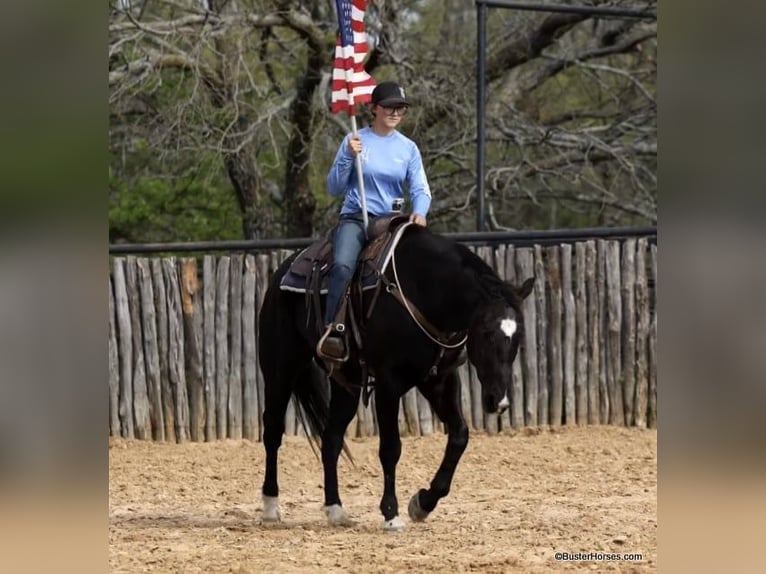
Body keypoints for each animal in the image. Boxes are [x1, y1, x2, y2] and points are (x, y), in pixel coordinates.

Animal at [260, 224, 536, 532]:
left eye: (518, 335)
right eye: (487, 332)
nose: (498, 401)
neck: (426, 292)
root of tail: (283, 271)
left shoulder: (440, 381)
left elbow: (459, 436)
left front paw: (423, 503)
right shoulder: (388, 384)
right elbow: (390, 448)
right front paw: (391, 513)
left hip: (346, 383)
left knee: (331, 439)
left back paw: (335, 509)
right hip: (280, 367)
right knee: (272, 431)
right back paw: (270, 506)